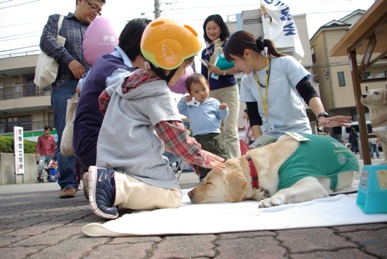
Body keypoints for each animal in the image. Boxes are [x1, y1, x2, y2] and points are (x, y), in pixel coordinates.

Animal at [189, 134, 360, 209]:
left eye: (209, 183)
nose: (189, 193)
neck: (255, 167)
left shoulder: (310, 182)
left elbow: (285, 189)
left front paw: (271, 198)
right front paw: (259, 193)